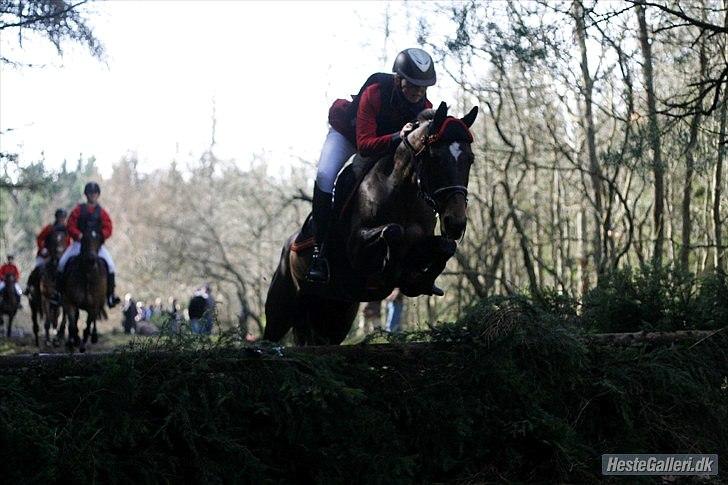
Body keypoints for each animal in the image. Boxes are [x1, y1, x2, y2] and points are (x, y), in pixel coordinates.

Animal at [266, 102, 478, 344]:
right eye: (436, 158)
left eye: (470, 159)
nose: (455, 223)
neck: (403, 194)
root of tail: (289, 245)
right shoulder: (355, 251)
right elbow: (392, 231)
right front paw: (389, 269)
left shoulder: (421, 244)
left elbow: (445, 246)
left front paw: (418, 281)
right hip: (280, 310)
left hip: (335, 316)